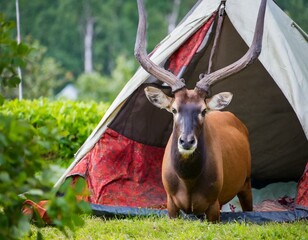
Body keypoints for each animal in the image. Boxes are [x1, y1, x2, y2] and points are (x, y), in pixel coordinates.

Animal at [135, 0, 268, 222]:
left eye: (203, 110)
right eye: (174, 109)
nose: (187, 141)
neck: (188, 184)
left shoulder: (214, 206)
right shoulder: (170, 204)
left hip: (246, 182)